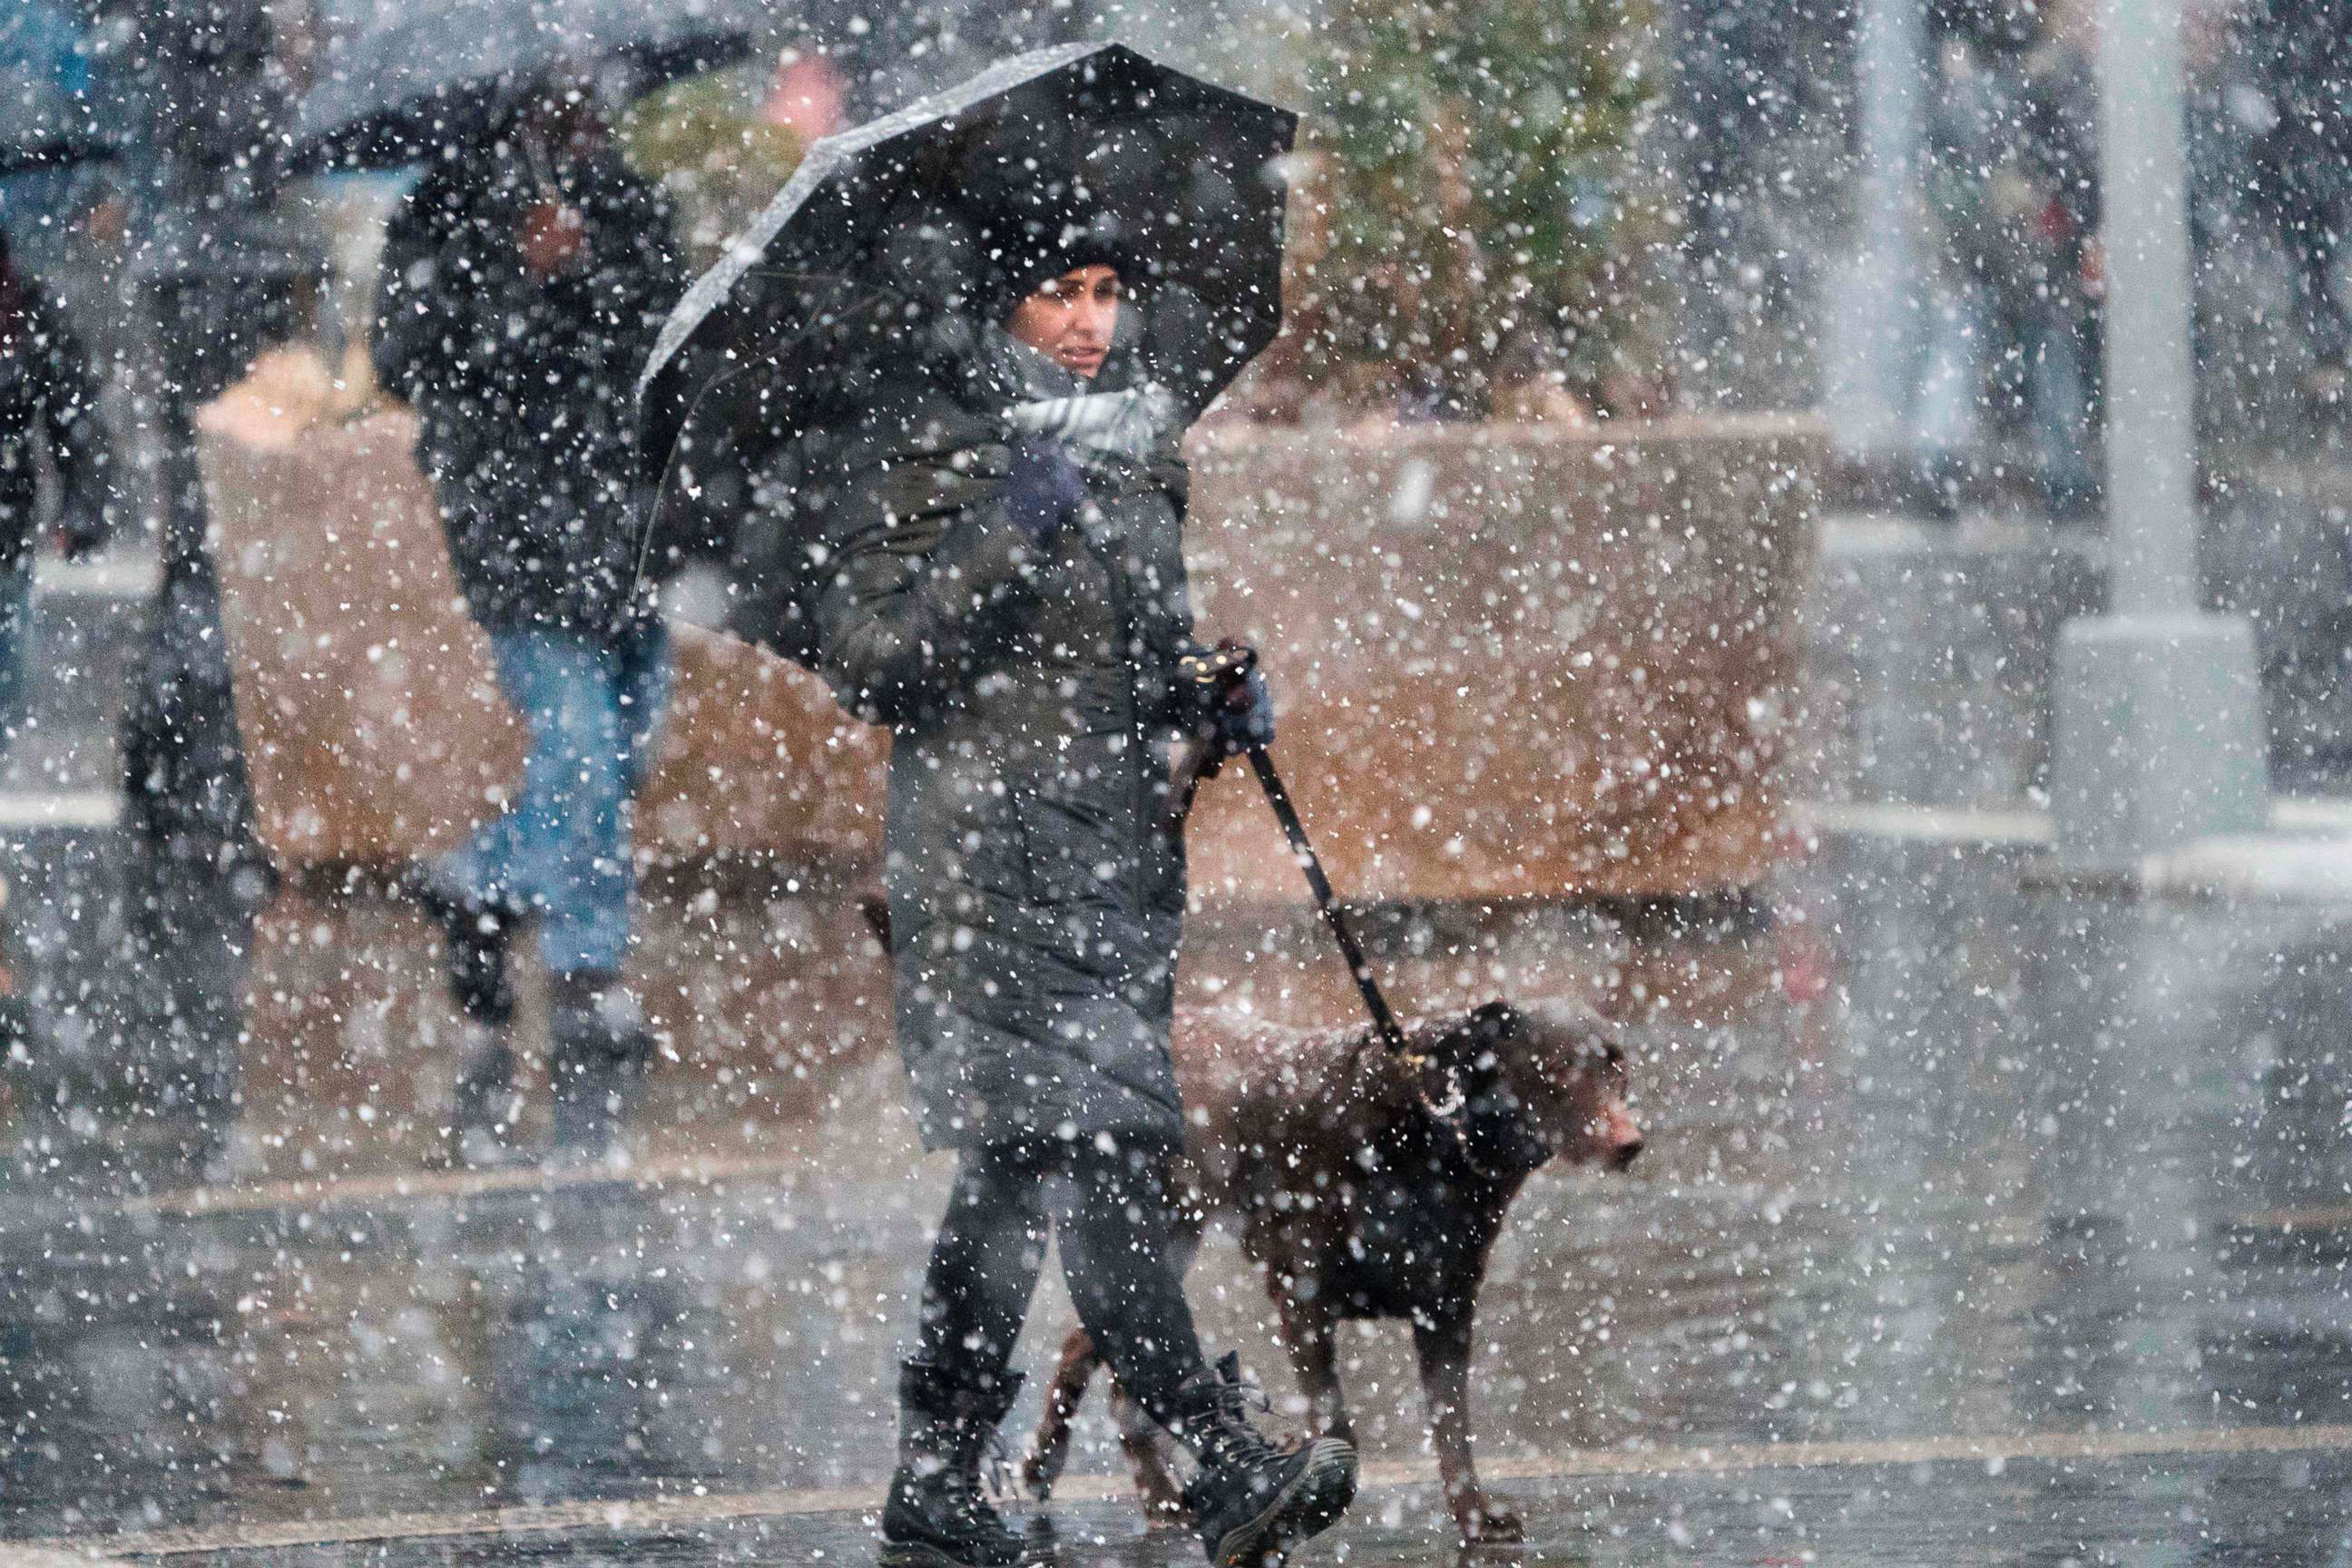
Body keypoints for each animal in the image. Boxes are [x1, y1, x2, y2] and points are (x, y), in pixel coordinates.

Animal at [1020, 1001, 1646, 1542]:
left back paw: (1160, 1503)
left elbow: (1453, 1429)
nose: (1632, 1144)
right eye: (1559, 1069)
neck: (1431, 1136)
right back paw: (1049, 1468)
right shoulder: (1302, 1297)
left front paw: (1475, 1519)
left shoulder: (1447, 1308)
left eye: (1619, 1068)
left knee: (1107, 1363)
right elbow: (1339, 1423)